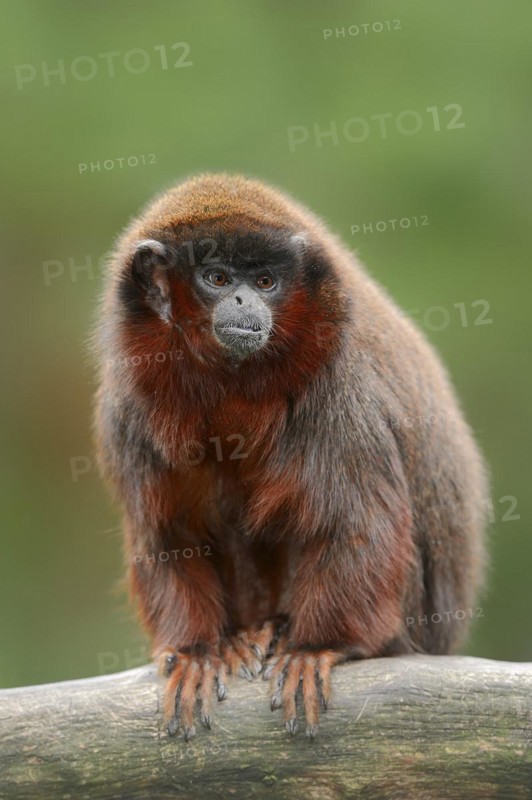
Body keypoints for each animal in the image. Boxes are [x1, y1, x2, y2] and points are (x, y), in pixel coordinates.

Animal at [94, 173, 488, 740]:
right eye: (216, 277)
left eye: (264, 282)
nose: (242, 301)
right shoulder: (127, 407)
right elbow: (170, 535)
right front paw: (196, 651)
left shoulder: (344, 382)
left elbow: (356, 523)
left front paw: (316, 647)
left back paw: (283, 632)